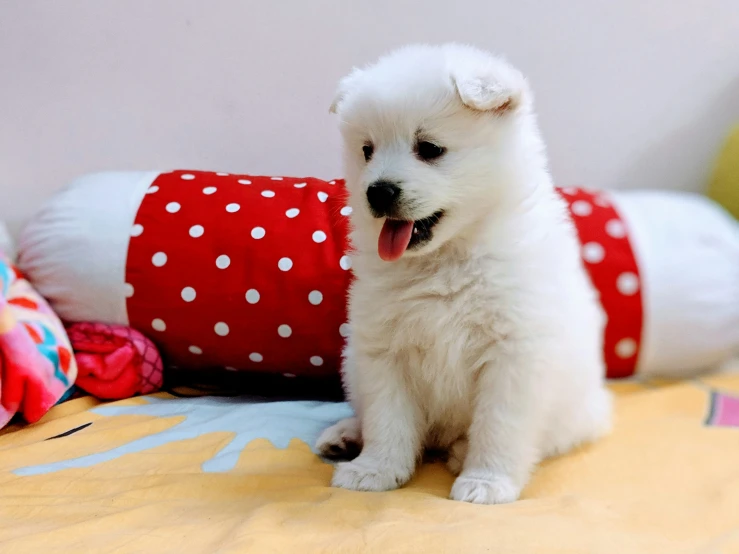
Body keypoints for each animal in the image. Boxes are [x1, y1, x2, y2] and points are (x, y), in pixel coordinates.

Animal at [318, 44, 612, 504]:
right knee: (366, 411)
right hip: (353, 368)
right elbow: (387, 419)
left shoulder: (513, 353)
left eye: (429, 148)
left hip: (576, 409)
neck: (448, 257)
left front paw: (486, 481)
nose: (377, 191)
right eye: (367, 150)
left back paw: (459, 452)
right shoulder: (383, 351)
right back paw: (346, 435)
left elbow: (498, 426)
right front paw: (375, 470)